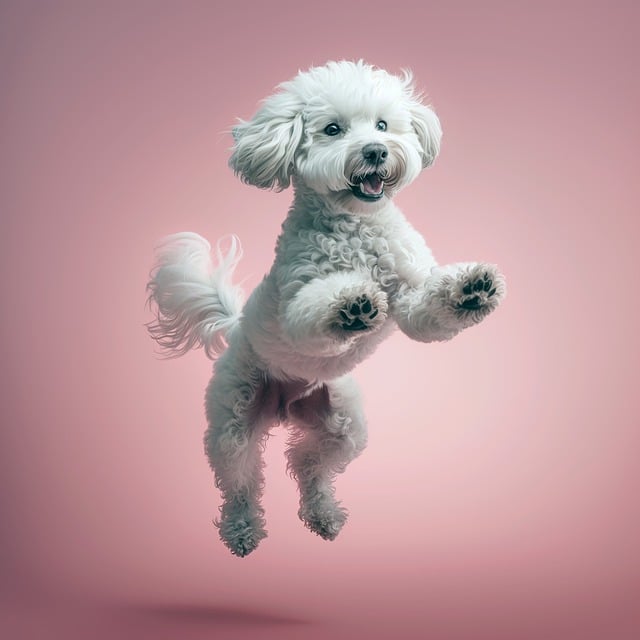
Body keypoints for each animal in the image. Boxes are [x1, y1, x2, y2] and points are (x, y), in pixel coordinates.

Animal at [148, 62, 508, 556]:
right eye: (333, 129)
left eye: (382, 124)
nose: (375, 151)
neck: (357, 225)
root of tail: (283, 407)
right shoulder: (297, 300)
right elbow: (316, 308)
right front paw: (352, 304)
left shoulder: (411, 293)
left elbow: (424, 311)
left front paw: (471, 288)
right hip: (233, 417)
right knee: (240, 479)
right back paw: (241, 528)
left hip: (344, 425)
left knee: (308, 464)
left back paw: (322, 512)